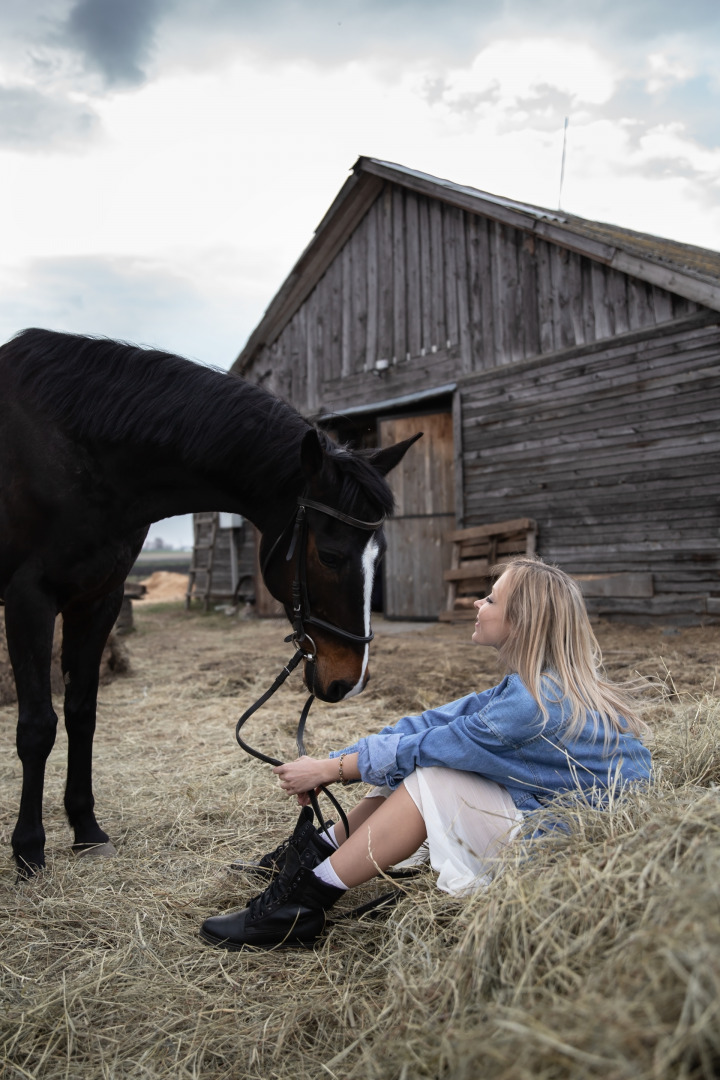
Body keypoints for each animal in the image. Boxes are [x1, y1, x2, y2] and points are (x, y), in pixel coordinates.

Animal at [1, 324, 416, 872]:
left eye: (380, 554)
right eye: (329, 556)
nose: (348, 682)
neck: (72, 448)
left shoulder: (98, 600)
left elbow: (81, 713)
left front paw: (86, 829)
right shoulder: (30, 598)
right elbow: (37, 726)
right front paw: (28, 847)